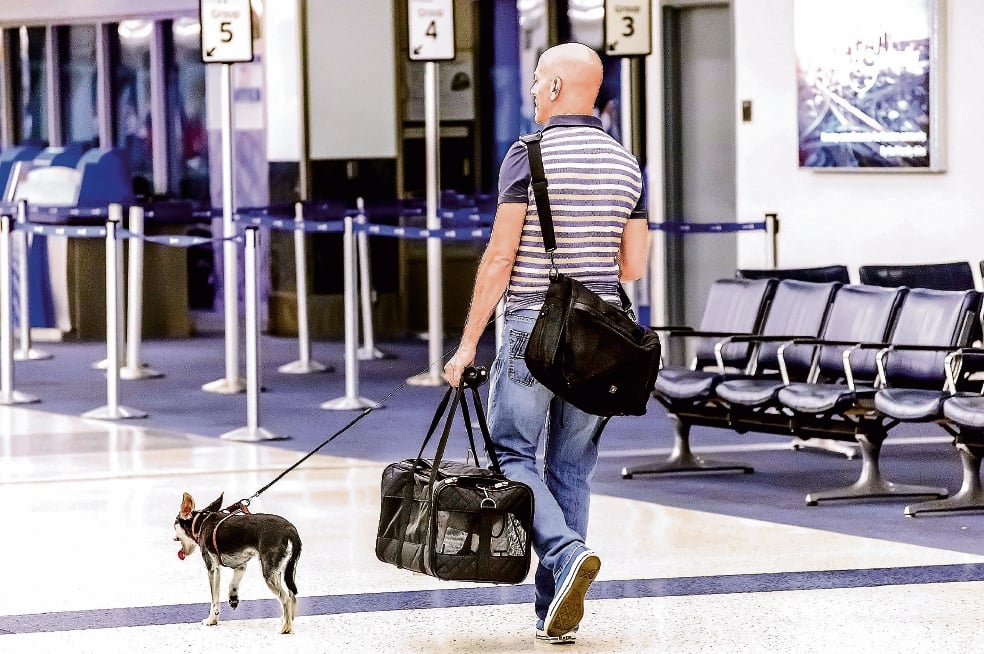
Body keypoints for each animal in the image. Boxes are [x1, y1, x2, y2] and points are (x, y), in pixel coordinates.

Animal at [173, 494, 302, 632]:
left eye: (174, 524)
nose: (173, 538)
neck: (201, 523)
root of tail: (290, 529)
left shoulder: (212, 568)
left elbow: (214, 599)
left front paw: (211, 620)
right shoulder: (240, 565)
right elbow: (232, 584)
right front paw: (233, 598)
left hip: (269, 573)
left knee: (286, 599)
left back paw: (286, 627)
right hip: (286, 570)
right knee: (292, 596)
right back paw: (287, 620)